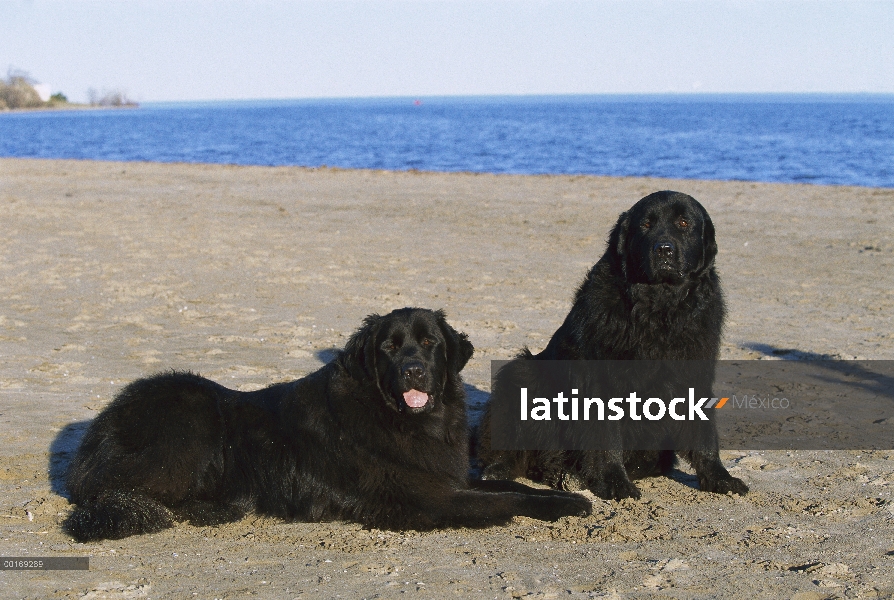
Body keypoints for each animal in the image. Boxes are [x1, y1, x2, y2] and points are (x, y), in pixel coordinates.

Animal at [65, 308, 596, 540]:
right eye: (389, 347)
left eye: (429, 343)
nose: (413, 371)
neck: (400, 419)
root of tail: (92, 441)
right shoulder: (427, 497)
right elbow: (508, 498)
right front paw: (568, 506)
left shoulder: (445, 477)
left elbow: (512, 485)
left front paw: (565, 496)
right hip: (190, 414)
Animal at [480, 192, 752, 502]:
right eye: (646, 224)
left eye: (684, 223)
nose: (664, 250)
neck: (659, 308)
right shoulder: (599, 381)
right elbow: (606, 436)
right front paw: (615, 482)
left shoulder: (695, 373)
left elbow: (704, 433)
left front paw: (720, 478)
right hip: (522, 374)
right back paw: (502, 470)